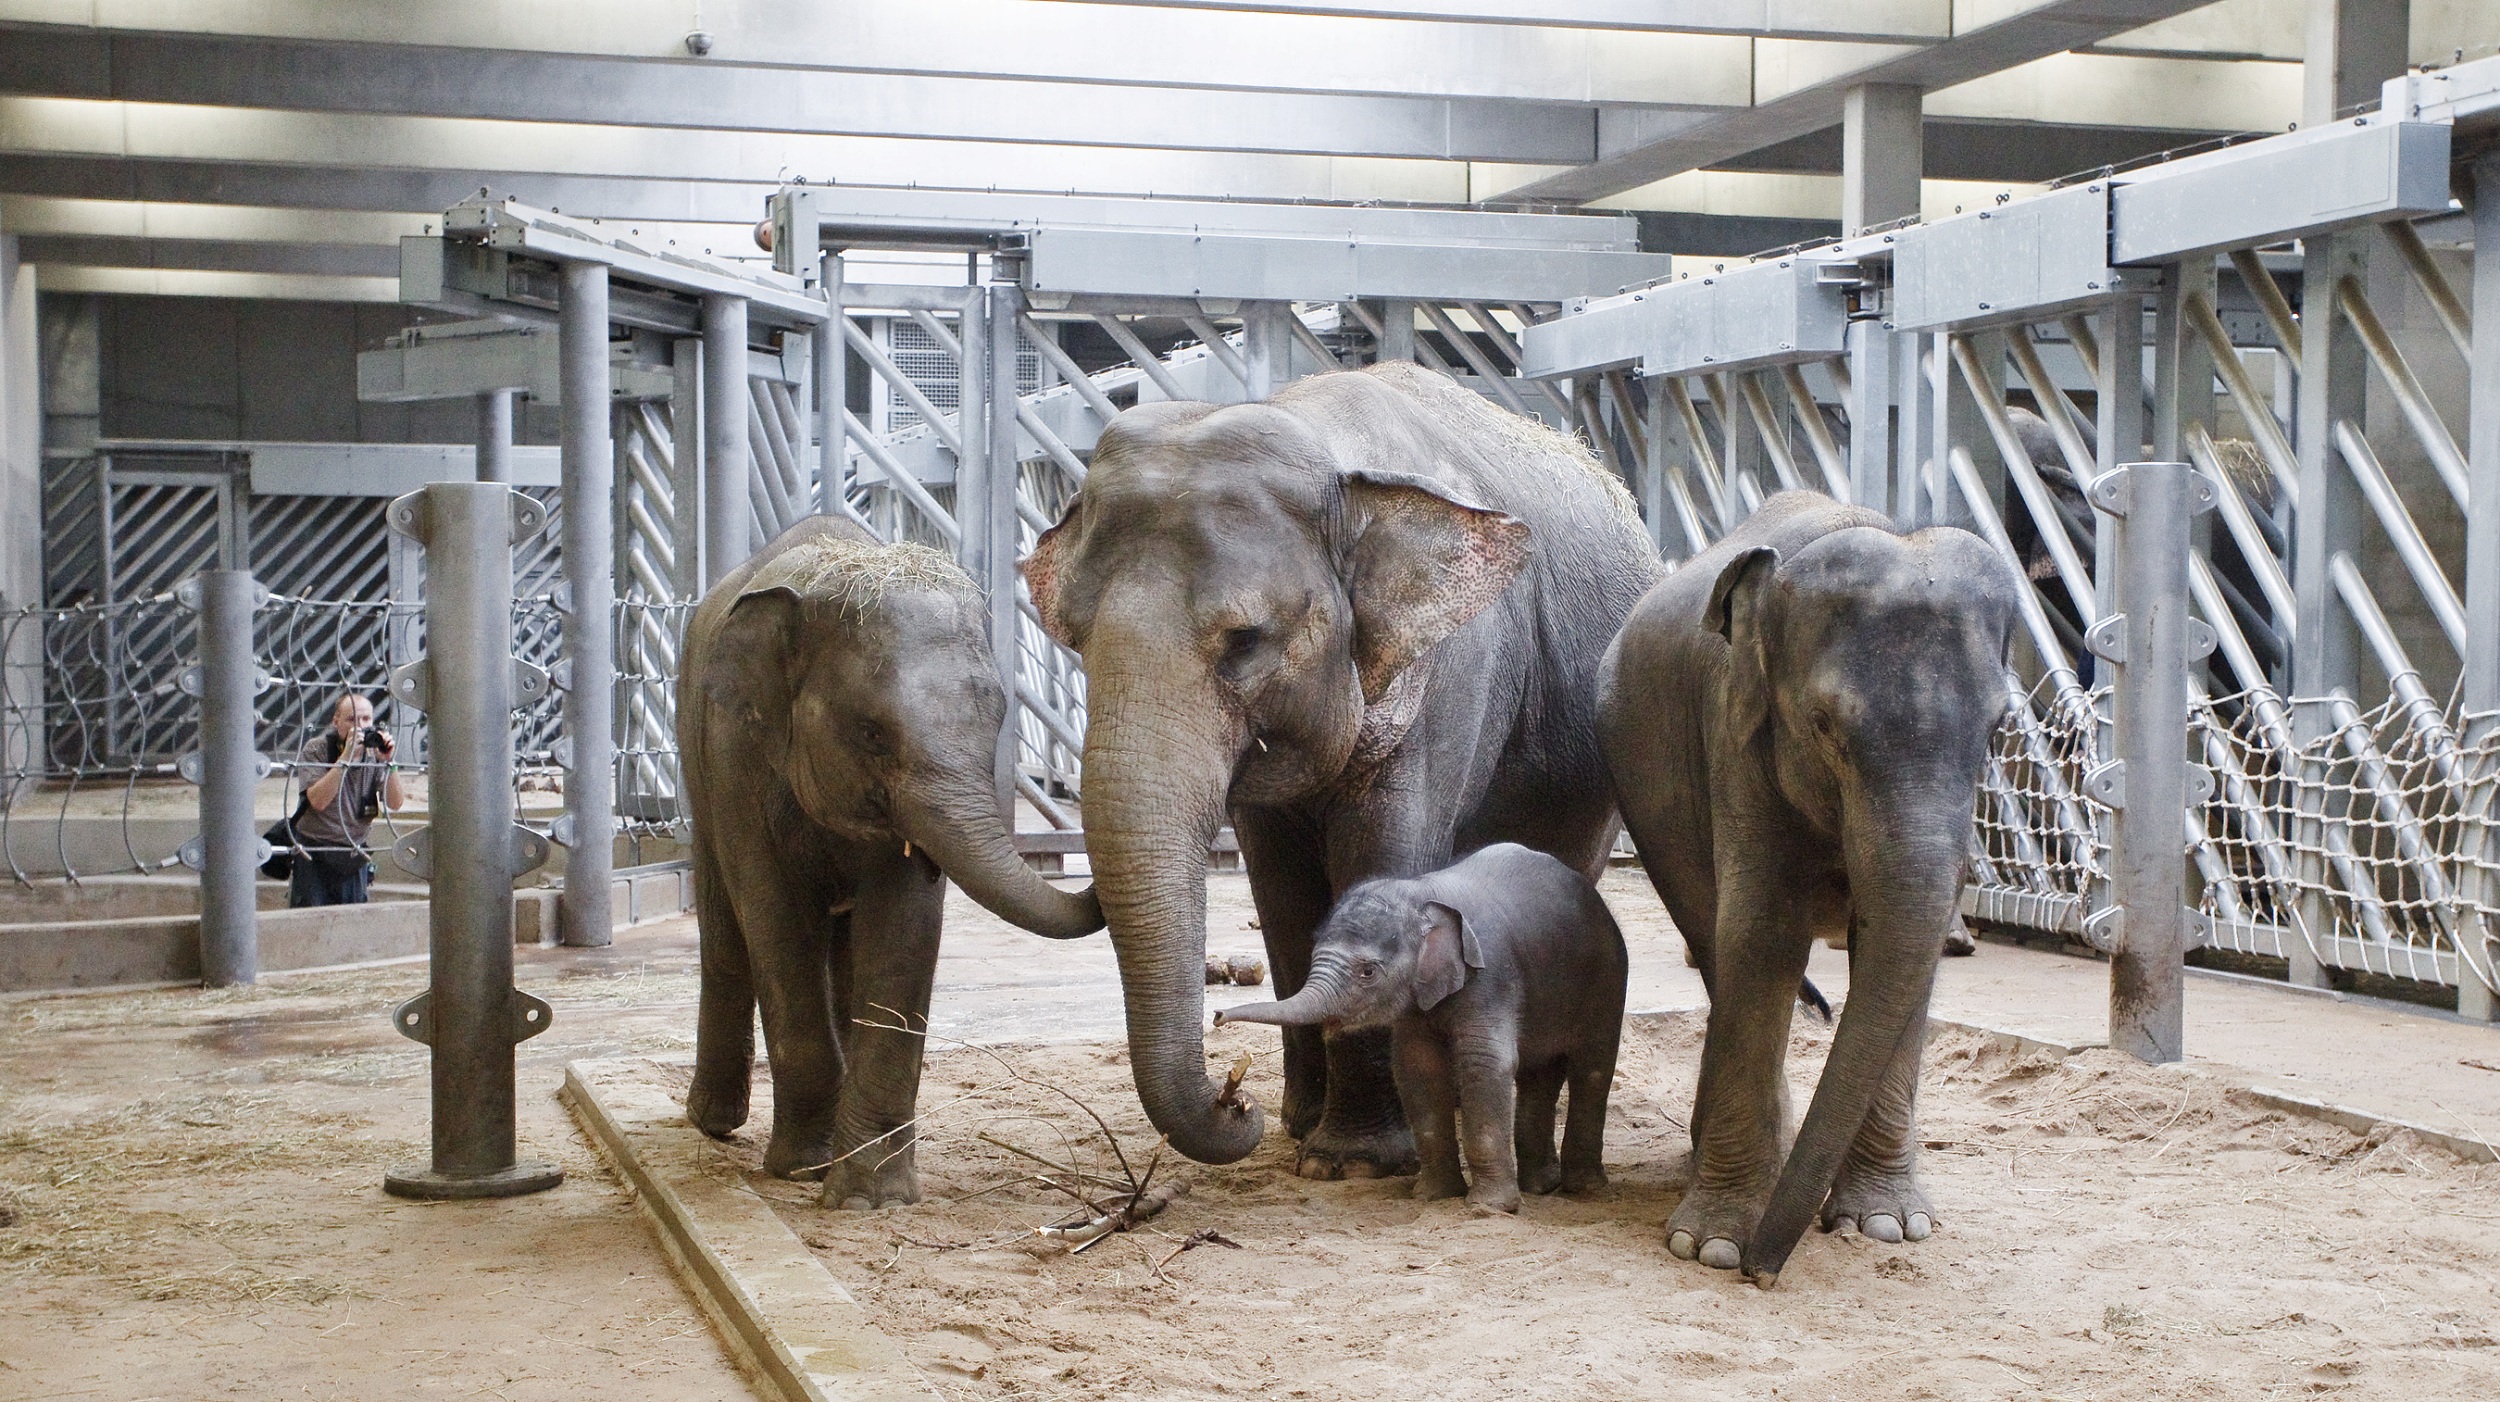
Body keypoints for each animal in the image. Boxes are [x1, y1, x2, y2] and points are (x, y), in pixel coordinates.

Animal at [690, 514, 1110, 1204]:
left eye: (997, 721)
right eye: (871, 734)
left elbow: (903, 930)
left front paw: (869, 1197)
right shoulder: (736, 756)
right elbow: (776, 922)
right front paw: (805, 1167)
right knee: (726, 932)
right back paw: (713, 1123)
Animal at [1015, 357, 1660, 1169]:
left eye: (1245, 641)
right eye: (1075, 636)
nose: (1236, 1096)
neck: (1327, 445)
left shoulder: (1456, 670)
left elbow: (1379, 857)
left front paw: (1356, 1159)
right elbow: (1281, 890)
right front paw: (1301, 1129)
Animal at [1220, 839, 1630, 1214]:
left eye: (1368, 972)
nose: (1218, 1016)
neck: (1424, 893)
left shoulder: (1490, 976)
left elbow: (1484, 1065)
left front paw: (1488, 1209)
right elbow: (1417, 1068)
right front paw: (1433, 1197)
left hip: (1608, 977)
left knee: (1592, 1067)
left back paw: (1584, 1189)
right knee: (1540, 1076)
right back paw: (1542, 1186)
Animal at [1600, 489, 2030, 1279]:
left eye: (1996, 727)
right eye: (1826, 727)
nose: (1761, 1274)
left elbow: (1902, 950)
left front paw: (1887, 1227)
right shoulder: (1738, 736)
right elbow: (1761, 936)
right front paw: (1711, 1246)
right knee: (1713, 939)